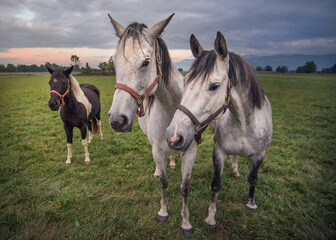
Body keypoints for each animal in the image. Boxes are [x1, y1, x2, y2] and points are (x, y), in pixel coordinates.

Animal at [107, 14, 197, 235]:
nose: (116, 120)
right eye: (115, 63)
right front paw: (163, 212)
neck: (173, 108)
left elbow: (185, 188)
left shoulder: (190, 153)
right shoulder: (157, 149)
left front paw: (186, 222)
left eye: (146, 62)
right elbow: (163, 183)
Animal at [166, 31, 272, 229]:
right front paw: (211, 217)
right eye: (185, 82)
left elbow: (253, 179)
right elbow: (216, 184)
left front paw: (251, 203)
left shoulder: (259, 155)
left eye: (214, 86)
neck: (245, 124)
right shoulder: (219, 152)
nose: (174, 136)